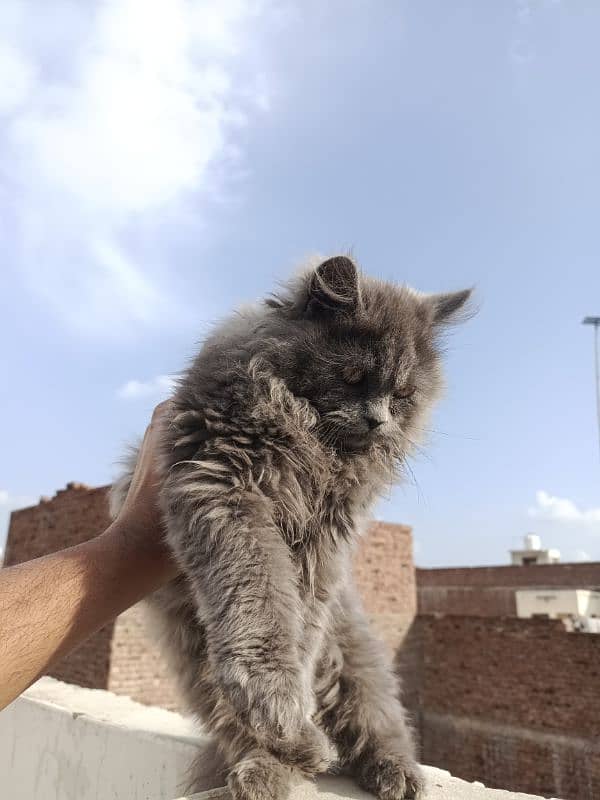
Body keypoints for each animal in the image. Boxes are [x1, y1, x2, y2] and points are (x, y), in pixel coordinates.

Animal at [110, 256, 472, 800]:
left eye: (403, 395)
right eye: (352, 375)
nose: (378, 420)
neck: (315, 451)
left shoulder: (323, 545)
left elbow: (298, 627)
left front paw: (293, 708)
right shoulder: (225, 487)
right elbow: (260, 603)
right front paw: (280, 710)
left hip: (354, 660)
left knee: (379, 723)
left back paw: (392, 772)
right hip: (198, 662)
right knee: (236, 726)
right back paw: (278, 762)